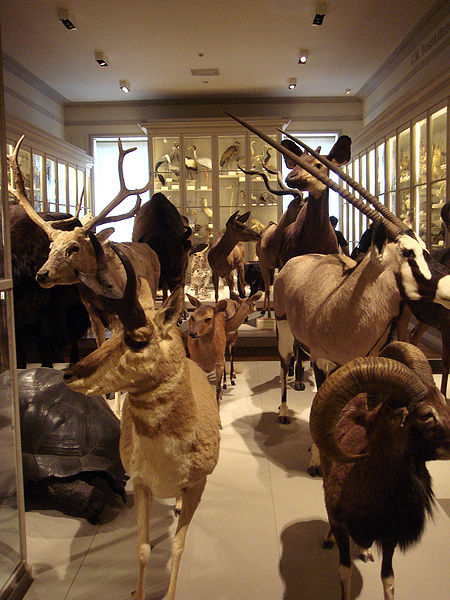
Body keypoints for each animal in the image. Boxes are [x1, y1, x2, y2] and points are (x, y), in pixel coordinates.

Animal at [62, 246, 221, 600]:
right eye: (112, 337)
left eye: (136, 340)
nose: (68, 374)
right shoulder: (141, 483)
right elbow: (143, 549)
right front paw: (138, 591)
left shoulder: (198, 484)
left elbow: (177, 546)